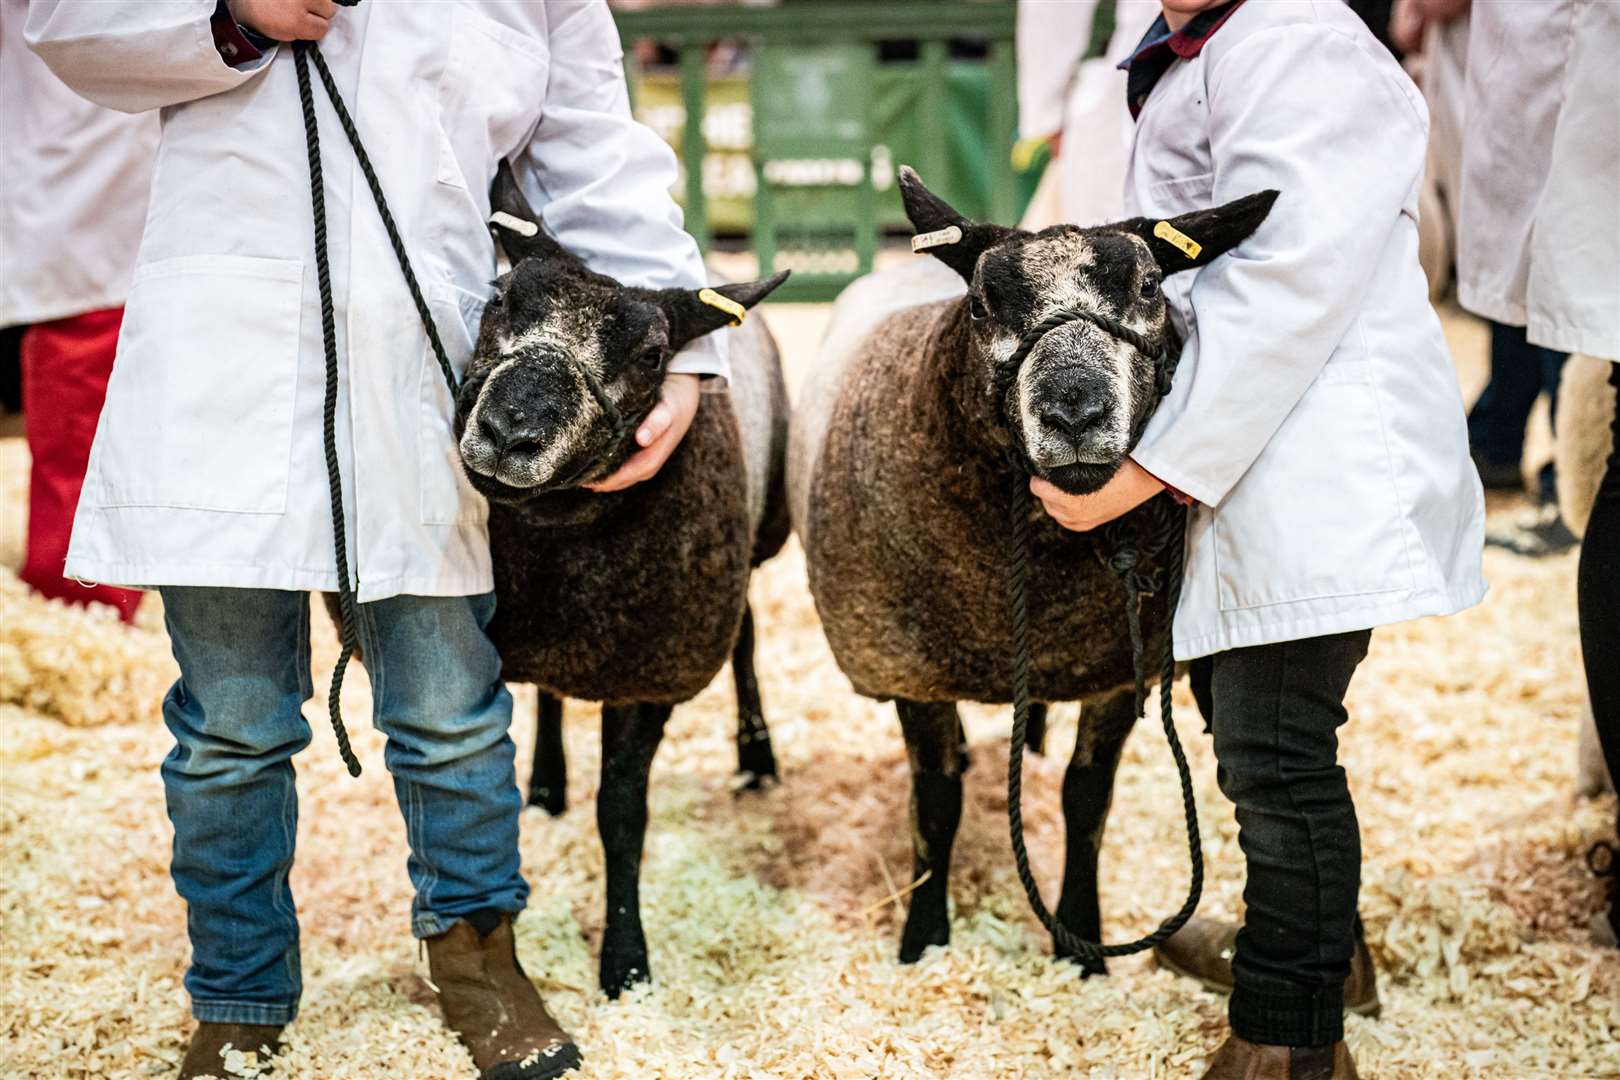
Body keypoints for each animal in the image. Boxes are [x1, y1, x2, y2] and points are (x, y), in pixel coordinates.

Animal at [450, 160, 790, 997]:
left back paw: (756, 753)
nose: (508, 433)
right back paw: (547, 782)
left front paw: (626, 963)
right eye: (499, 298)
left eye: (652, 355)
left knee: (747, 636)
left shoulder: (650, 668)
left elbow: (621, 814)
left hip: (756, 541)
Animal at [790, 169, 1270, 971]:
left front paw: (1081, 942)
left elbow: (1086, 799)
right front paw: (924, 938)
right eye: (981, 304)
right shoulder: (910, 669)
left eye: (1149, 286)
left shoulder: (1115, 668)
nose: (1074, 413)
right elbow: (936, 804)